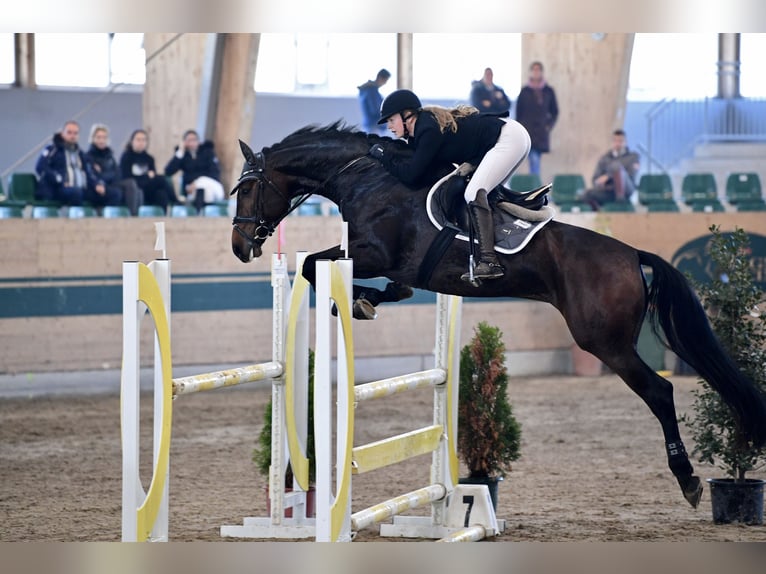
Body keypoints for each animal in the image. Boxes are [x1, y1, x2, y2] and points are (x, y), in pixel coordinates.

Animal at [231, 121, 766, 508]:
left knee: (659, 392)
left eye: (247, 191)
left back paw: (689, 480)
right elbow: (371, 280)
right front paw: (373, 299)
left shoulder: (373, 252)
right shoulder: (389, 262)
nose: (239, 246)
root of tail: (632, 253)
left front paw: (357, 300)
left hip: (605, 342)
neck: (367, 177)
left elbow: (311, 264)